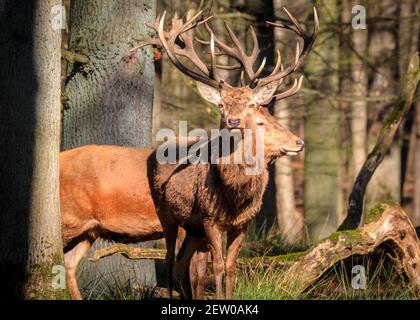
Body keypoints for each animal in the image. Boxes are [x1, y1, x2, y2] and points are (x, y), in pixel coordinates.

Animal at [138, 6, 318, 298]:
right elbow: (219, 265)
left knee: (184, 262)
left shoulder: (244, 222)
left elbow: (232, 266)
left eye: (254, 106)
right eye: (221, 105)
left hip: (193, 228)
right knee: (169, 258)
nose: (299, 142)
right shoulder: (211, 219)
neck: (234, 196)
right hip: (166, 212)